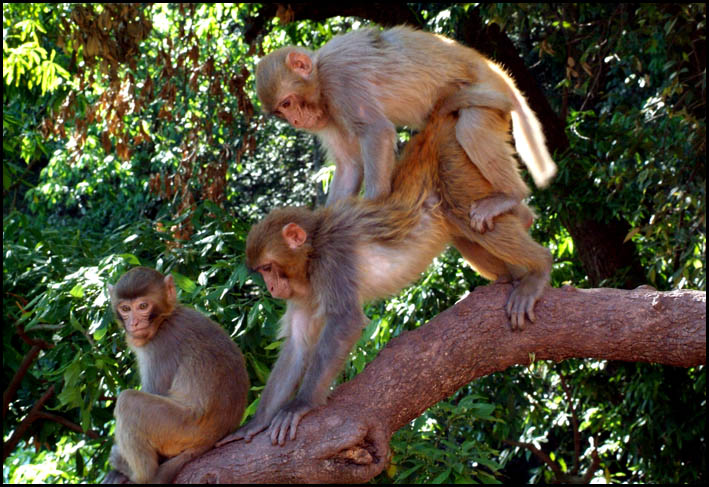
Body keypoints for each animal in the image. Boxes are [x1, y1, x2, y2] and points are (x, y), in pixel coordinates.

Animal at [103, 266, 249, 484]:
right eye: (125, 309)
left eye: (143, 306)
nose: (134, 323)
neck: (165, 319)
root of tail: (212, 437)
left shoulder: (159, 347)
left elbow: (155, 391)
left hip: (179, 428)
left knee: (128, 401)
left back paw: (138, 474)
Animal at [217, 96, 552, 450]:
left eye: (268, 268)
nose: (271, 287)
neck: (312, 256)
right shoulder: (301, 293)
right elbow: (297, 345)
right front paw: (257, 422)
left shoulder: (335, 260)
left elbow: (345, 320)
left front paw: (301, 405)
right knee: (463, 229)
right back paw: (515, 268)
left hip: (453, 157)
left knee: (466, 212)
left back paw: (537, 269)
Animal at [258, 23, 556, 234]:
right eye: (282, 111)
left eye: (288, 102)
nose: (296, 121)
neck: (319, 76)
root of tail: (495, 68)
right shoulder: (327, 117)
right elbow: (349, 165)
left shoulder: (341, 79)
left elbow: (376, 131)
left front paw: (372, 207)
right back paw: (523, 214)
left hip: (489, 92)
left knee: (471, 129)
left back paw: (510, 196)